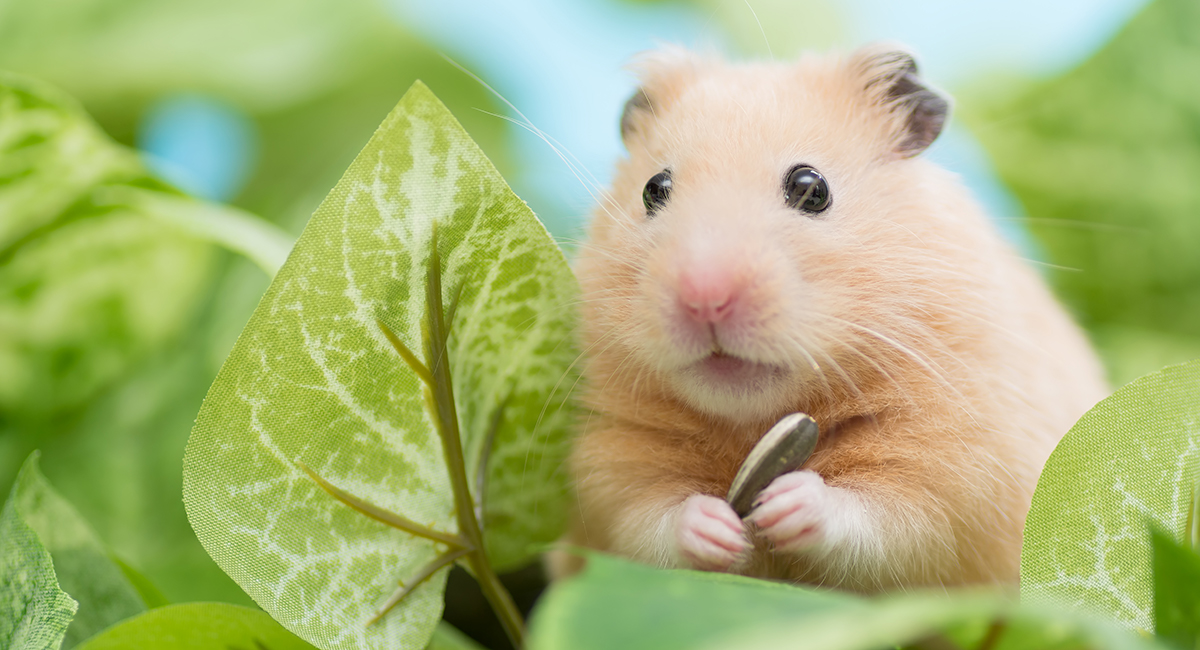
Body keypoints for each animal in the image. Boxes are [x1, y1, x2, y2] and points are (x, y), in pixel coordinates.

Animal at [556, 44, 1109, 591]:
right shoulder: (607, 460)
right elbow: (646, 518)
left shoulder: (953, 471)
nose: (705, 298)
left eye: (811, 188)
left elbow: (882, 521)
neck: (753, 422)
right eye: (653, 189)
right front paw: (716, 526)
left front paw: (790, 502)